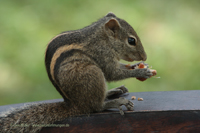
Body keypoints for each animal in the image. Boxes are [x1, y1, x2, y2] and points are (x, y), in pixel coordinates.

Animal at [0, 12, 153, 132]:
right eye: (131, 40)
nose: (145, 57)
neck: (102, 37)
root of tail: (74, 105)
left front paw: (139, 66)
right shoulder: (102, 54)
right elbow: (112, 73)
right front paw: (141, 72)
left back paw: (113, 91)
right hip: (92, 74)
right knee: (96, 107)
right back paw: (115, 102)